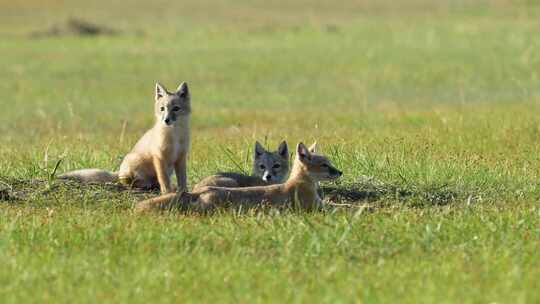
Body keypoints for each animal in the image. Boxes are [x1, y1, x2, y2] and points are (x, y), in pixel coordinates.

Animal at [58, 82, 190, 194]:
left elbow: (183, 179)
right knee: (128, 182)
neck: (175, 137)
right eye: (162, 109)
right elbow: (163, 179)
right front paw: (167, 192)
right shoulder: (159, 157)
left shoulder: (181, 157)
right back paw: (144, 184)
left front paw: (183, 191)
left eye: (176, 108)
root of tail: (119, 171)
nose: (166, 120)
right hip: (133, 164)